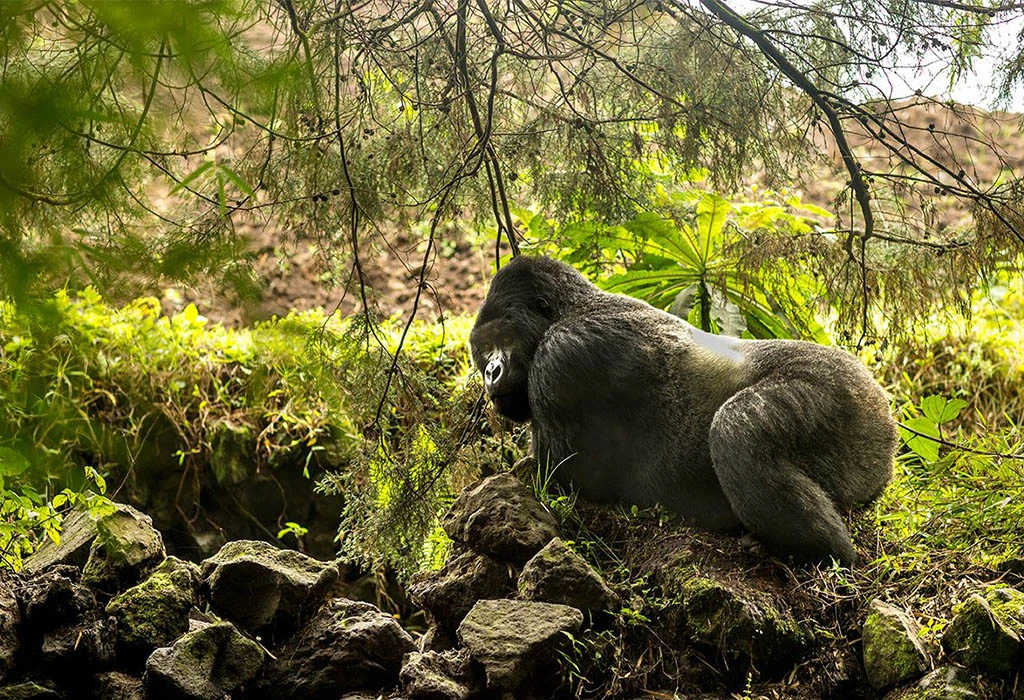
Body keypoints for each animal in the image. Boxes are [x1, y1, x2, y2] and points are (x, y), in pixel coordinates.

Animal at [469, 255, 898, 566]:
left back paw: (818, 550)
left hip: (847, 395)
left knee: (736, 429)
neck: (571, 309)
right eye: (482, 350)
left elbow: (561, 476)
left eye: (502, 338)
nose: (491, 372)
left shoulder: (563, 355)